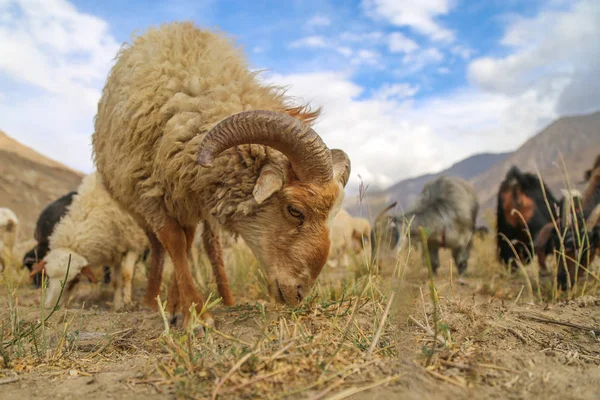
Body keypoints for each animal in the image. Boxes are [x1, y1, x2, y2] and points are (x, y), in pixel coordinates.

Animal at [29, 173, 149, 310]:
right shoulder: (115, 249)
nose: (51, 307)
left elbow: (126, 274)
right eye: (48, 277)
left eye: (74, 281)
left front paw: (128, 303)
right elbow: (115, 281)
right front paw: (117, 304)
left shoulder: (134, 242)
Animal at [91, 21, 350, 328]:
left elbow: (185, 245)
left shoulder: (187, 193)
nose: (299, 295)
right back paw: (152, 299)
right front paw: (195, 314)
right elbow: (173, 242)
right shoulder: (148, 191)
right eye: (295, 210)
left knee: (201, 244)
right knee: (159, 246)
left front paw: (183, 306)